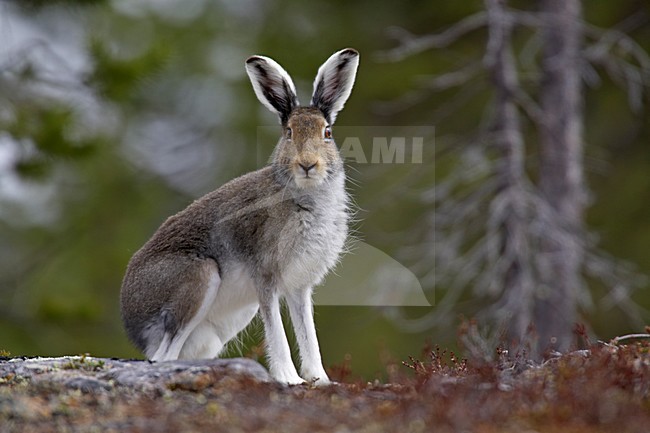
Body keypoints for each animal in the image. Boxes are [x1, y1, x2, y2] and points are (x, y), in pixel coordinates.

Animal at [120, 48, 359, 385]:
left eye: (327, 132)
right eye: (288, 133)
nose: (307, 165)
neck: (305, 194)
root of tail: (132, 324)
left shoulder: (299, 287)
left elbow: (308, 335)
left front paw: (320, 380)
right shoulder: (266, 277)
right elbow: (278, 334)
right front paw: (289, 379)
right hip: (199, 278)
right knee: (163, 357)